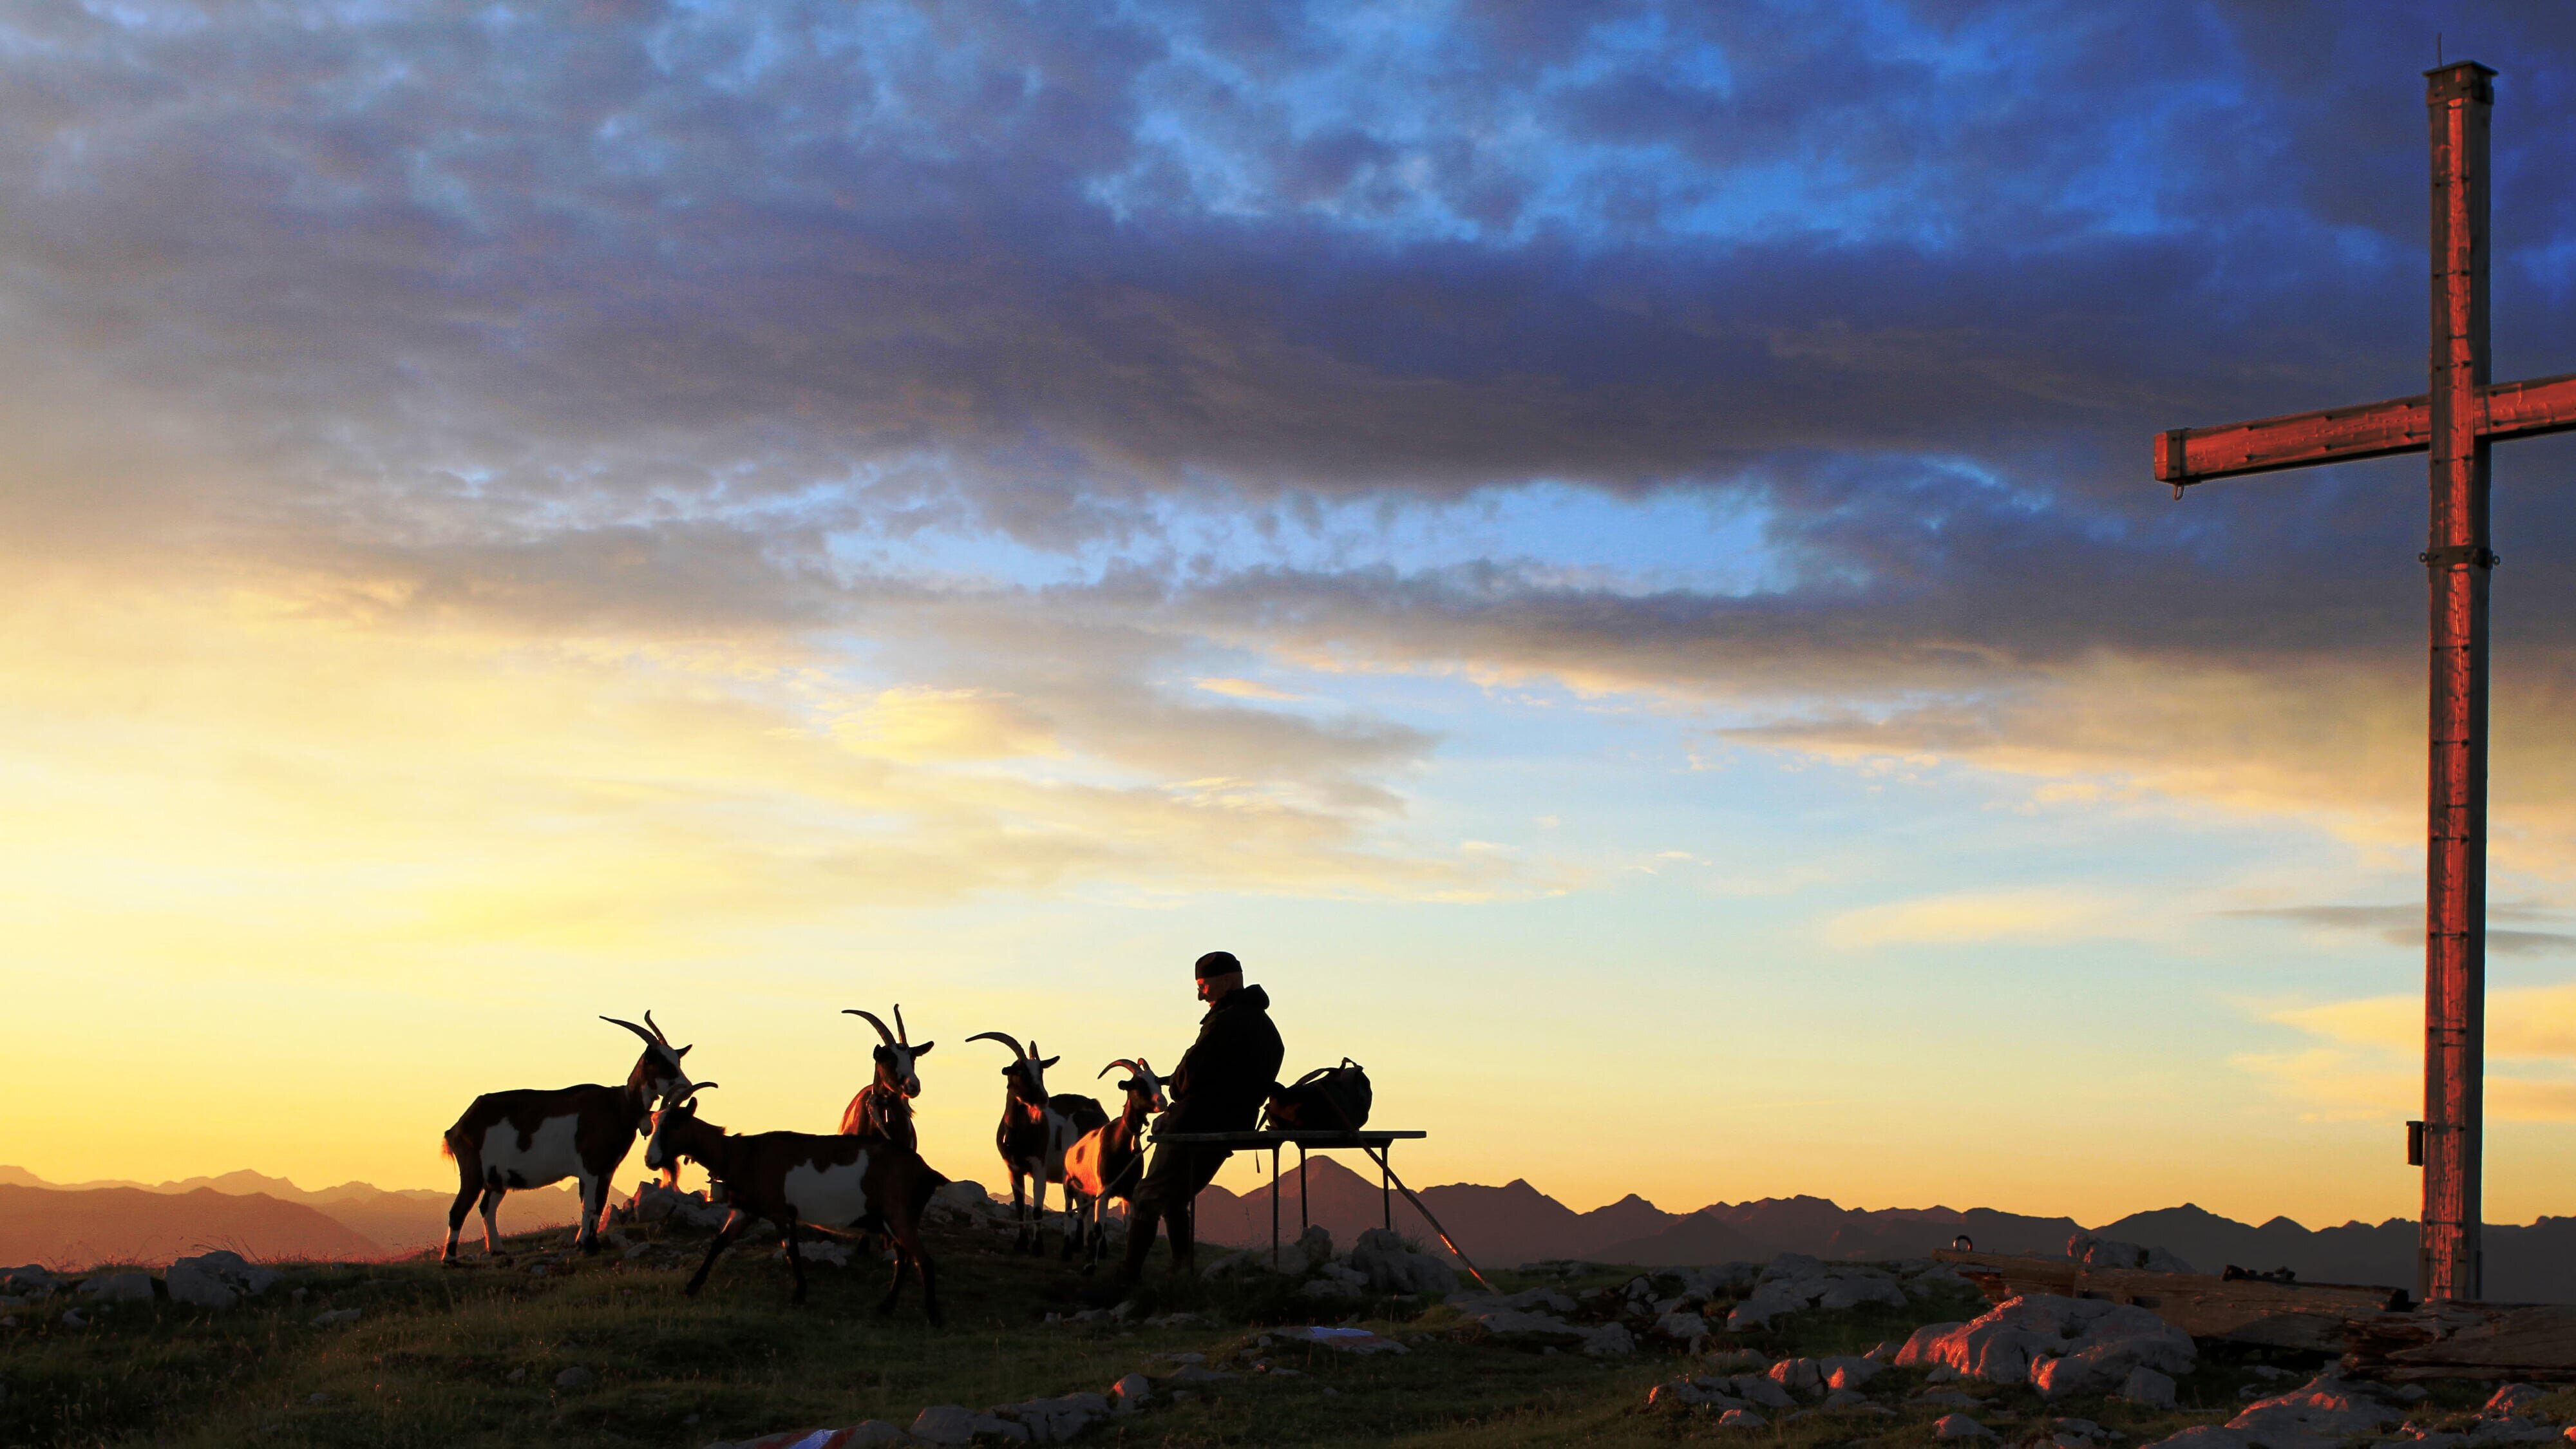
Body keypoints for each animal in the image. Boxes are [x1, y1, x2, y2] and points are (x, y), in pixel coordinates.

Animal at [649, 1077, 953, 1314]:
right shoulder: (748, 1211)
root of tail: (927, 1171)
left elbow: (791, 1252)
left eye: (674, 1125)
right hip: (893, 1221)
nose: (650, 1160)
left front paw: (799, 1295)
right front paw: (691, 1287)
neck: (742, 1155)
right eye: (654, 1121)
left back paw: (932, 1315)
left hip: (899, 1217)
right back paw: (887, 1307)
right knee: (904, 1258)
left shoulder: (781, 1213)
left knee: (922, 1259)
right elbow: (719, 1243)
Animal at [969, 1026, 1108, 1253]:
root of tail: (1097, 1109)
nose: (1044, 1098)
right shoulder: (1013, 1169)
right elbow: (1020, 1208)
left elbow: (1037, 1210)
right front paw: (1021, 1244)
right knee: (1084, 1205)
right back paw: (1080, 1244)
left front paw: (1038, 1247)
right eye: (1021, 1071)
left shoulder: (1039, 1168)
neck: (1019, 1134)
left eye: (1041, 1071)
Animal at [1056, 1057, 1170, 1268]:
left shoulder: (1129, 1191)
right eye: (1138, 1084)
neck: (1122, 1144)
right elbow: (1099, 1228)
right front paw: (1090, 1267)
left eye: (1158, 1082)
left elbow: (1127, 1231)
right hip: (1069, 1180)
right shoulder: (1105, 1188)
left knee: (1084, 1211)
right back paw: (1067, 1251)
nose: (1162, 1102)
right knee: (1069, 1212)